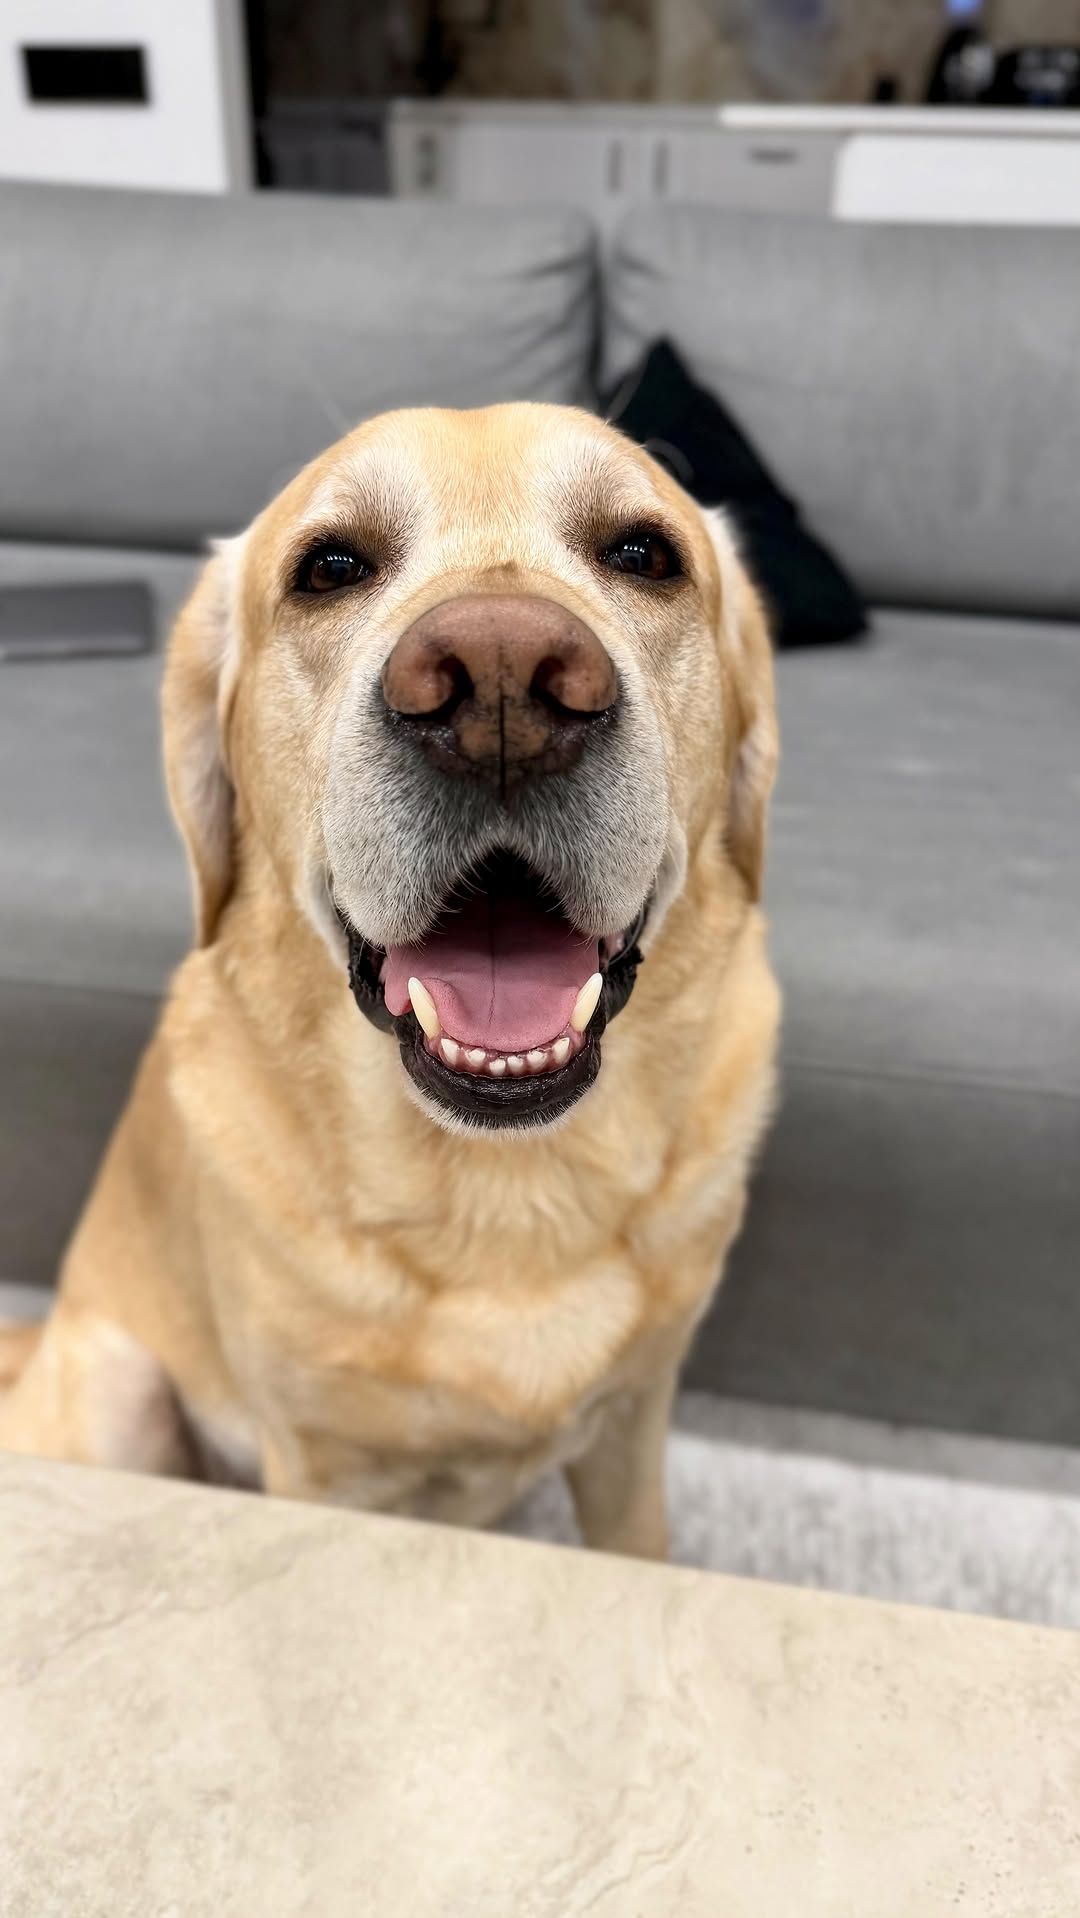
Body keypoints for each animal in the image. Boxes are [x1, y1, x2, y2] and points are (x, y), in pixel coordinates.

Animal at [0, 404, 779, 1558]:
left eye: (645, 554)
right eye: (330, 567)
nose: (502, 678)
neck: (507, 1185)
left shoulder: (634, 1425)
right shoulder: (320, 1469)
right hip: (119, 1386)